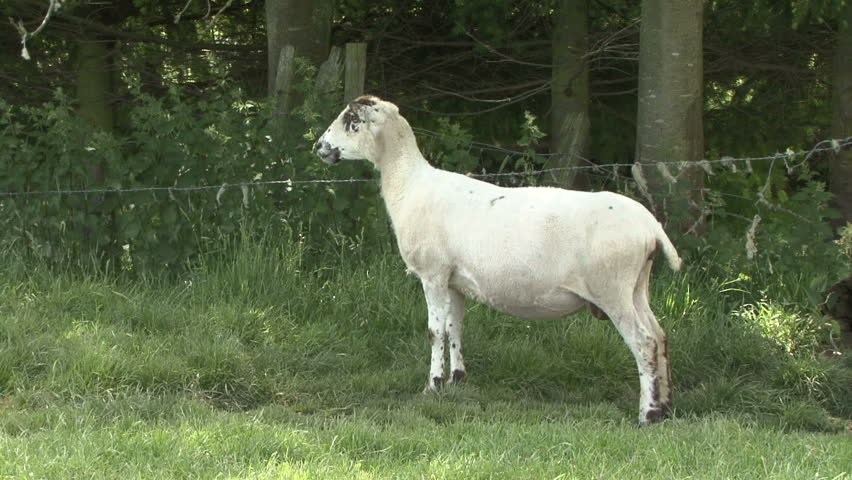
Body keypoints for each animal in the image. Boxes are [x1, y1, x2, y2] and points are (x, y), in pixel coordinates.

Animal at [315, 95, 682, 425]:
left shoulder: (433, 274)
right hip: (637, 287)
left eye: (352, 121)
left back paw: (647, 415)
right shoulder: (454, 281)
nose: (319, 146)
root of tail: (651, 227)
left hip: (612, 289)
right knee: (660, 336)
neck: (409, 185)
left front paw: (432, 386)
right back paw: (665, 407)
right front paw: (457, 380)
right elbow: (455, 327)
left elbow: (434, 331)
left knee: (644, 343)